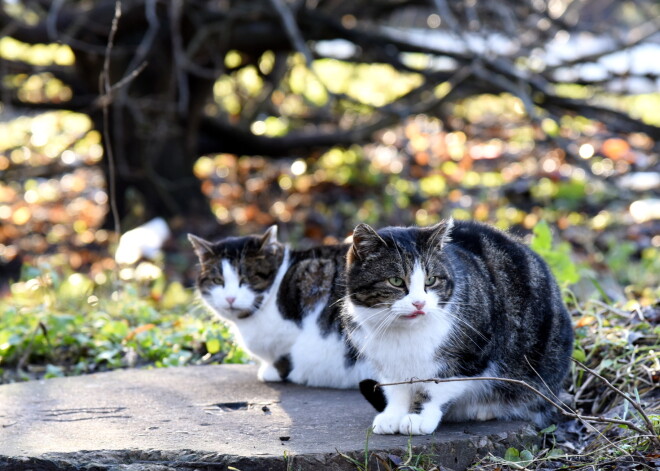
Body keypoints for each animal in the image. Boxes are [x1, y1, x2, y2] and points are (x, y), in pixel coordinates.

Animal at [189, 227, 372, 390]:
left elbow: (285, 355)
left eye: (246, 279)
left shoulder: (312, 275)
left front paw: (274, 372)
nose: (230, 298)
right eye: (217, 281)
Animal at [342, 219, 576, 436]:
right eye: (396, 281)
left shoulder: (470, 354)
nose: (419, 303)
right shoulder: (386, 362)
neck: (404, 333)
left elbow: (435, 386)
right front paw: (392, 415)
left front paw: (418, 418)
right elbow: (396, 389)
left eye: (431, 280)